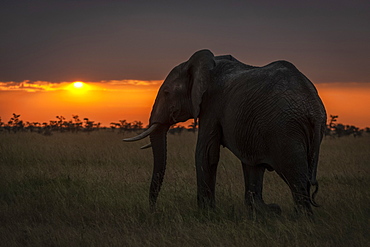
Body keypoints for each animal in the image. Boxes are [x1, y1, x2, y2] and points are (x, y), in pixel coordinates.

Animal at [125, 49, 326, 215]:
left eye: (166, 93)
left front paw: (205, 214)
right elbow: (246, 163)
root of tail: (313, 108)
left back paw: (302, 219)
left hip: (285, 131)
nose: (153, 210)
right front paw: (264, 211)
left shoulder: (211, 104)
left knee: (296, 178)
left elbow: (206, 153)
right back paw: (273, 211)